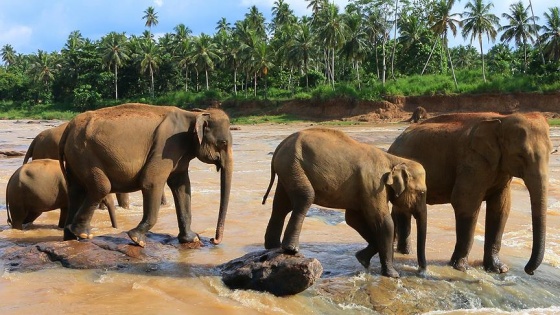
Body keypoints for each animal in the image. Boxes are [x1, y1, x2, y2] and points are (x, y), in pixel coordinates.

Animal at [60, 102, 234, 248]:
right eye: (223, 143)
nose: (213, 240)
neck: (194, 114)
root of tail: (69, 127)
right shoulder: (166, 147)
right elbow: (151, 182)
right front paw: (137, 240)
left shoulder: (179, 155)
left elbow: (182, 186)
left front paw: (191, 239)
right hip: (84, 154)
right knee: (101, 187)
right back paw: (83, 233)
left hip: (75, 158)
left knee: (76, 191)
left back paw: (70, 236)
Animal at [262, 127, 428, 278]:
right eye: (422, 193)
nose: (422, 271)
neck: (394, 159)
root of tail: (281, 145)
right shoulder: (374, 185)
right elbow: (384, 222)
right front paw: (393, 275)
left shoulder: (366, 189)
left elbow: (353, 219)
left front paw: (362, 260)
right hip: (293, 165)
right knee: (305, 197)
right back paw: (290, 249)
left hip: (287, 169)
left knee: (280, 206)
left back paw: (273, 247)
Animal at [388, 112, 552, 276]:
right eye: (520, 155)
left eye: (551, 153)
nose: (529, 271)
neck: (501, 119)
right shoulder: (472, 162)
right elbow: (465, 203)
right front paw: (461, 268)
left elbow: (501, 208)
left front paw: (499, 269)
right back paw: (405, 252)